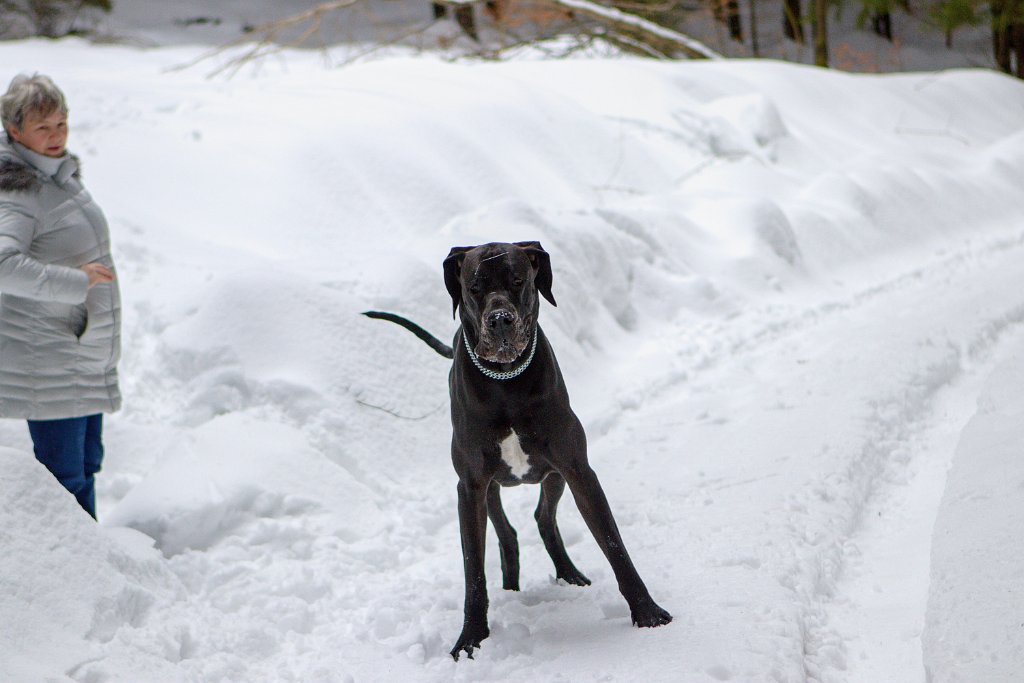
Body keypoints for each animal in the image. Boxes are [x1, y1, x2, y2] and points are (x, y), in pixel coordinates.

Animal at [364, 241, 667, 663]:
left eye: (519, 280)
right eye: (474, 287)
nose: (500, 319)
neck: (505, 382)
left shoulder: (578, 470)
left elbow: (613, 545)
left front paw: (647, 612)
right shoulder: (470, 486)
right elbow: (473, 570)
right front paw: (471, 638)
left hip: (553, 475)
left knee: (543, 517)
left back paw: (569, 574)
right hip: (491, 488)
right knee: (507, 532)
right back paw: (511, 585)